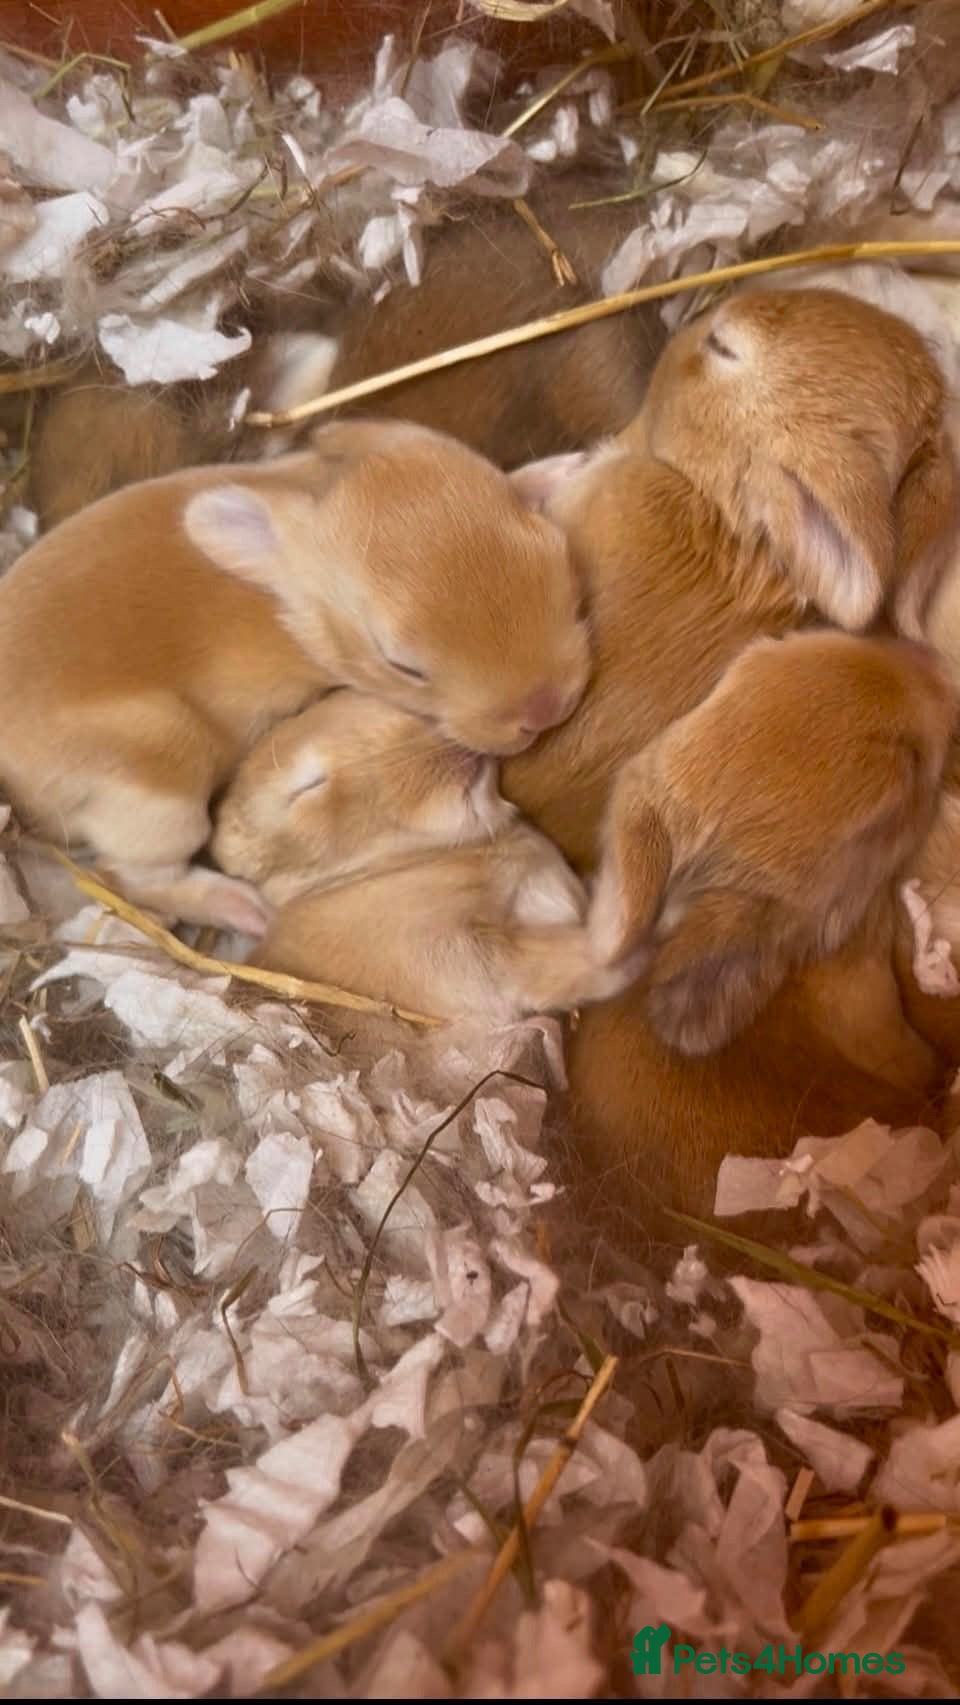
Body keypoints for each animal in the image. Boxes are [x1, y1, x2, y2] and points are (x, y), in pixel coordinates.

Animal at [0, 418, 589, 934]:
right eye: (403, 665)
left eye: (557, 555)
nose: (547, 707)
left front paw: (558, 471)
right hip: (158, 791)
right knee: (134, 875)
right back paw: (243, 907)